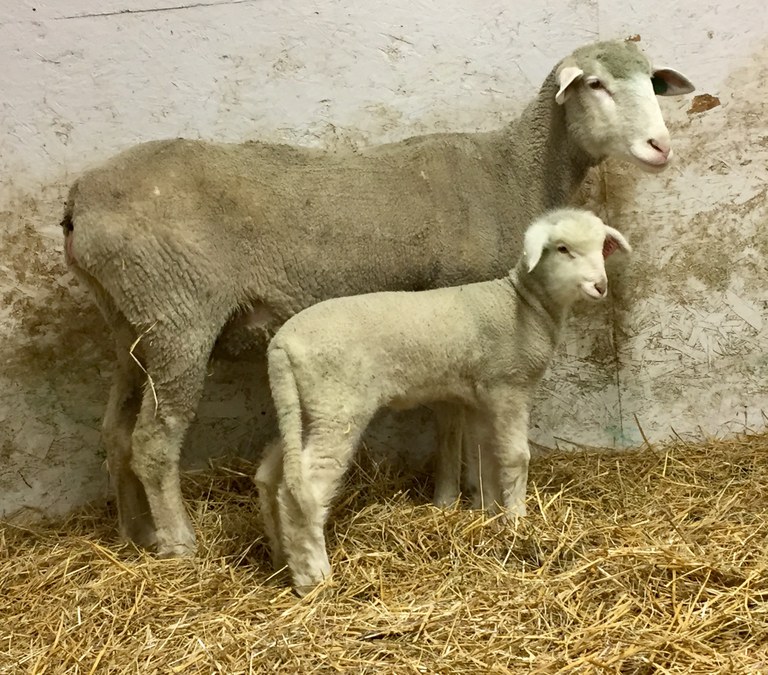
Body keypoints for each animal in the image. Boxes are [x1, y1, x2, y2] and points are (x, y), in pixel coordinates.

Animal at [256, 209, 632, 596]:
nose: (600, 286)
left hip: (304, 408)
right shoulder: (509, 387)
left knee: (271, 478)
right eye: (562, 249)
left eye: (602, 248)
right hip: (337, 406)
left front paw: (486, 511)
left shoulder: (480, 395)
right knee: (305, 490)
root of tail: (281, 346)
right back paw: (312, 578)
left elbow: (481, 457)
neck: (525, 304)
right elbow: (515, 457)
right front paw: (517, 520)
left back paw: (280, 559)